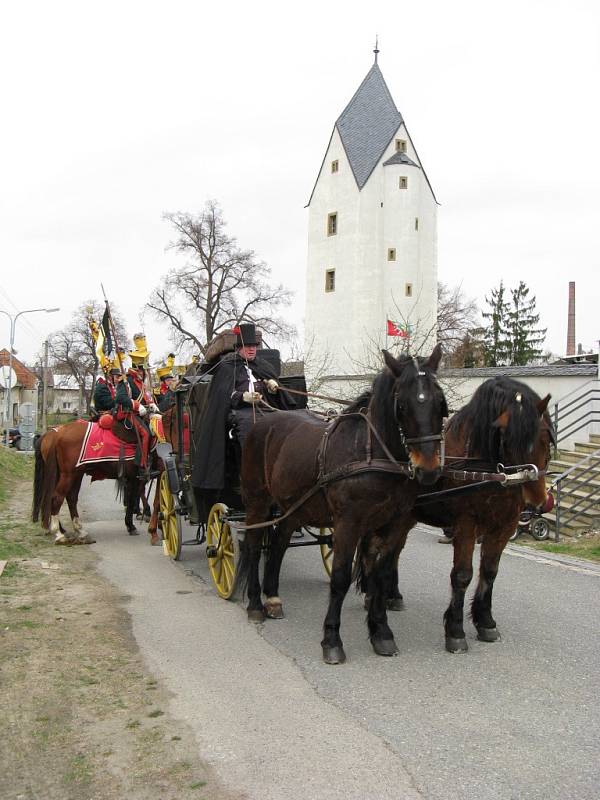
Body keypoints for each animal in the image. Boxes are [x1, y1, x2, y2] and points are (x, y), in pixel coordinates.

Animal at [30, 418, 162, 544]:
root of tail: (56, 435)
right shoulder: (136, 478)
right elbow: (134, 499)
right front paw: (133, 525)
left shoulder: (134, 478)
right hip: (68, 475)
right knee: (56, 498)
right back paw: (59, 533)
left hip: (75, 474)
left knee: (70, 498)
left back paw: (76, 530)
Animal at [241, 346, 448, 664]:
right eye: (402, 404)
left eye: (440, 402)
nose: (428, 469)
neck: (372, 452)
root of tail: (262, 422)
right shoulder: (349, 524)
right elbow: (340, 579)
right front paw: (331, 640)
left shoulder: (391, 524)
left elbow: (378, 576)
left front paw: (381, 632)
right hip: (257, 502)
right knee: (253, 546)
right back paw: (254, 604)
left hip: (293, 507)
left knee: (278, 544)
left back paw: (273, 597)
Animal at [384, 376, 552, 648]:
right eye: (506, 438)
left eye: (545, 435)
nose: (536, 497)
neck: (485, 471)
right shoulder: (466, 525)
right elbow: (462, 575)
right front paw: (455, 630)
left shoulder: (503, 527)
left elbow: (490, 572)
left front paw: (486, 621)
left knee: (393, 552)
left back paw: (392, 595)